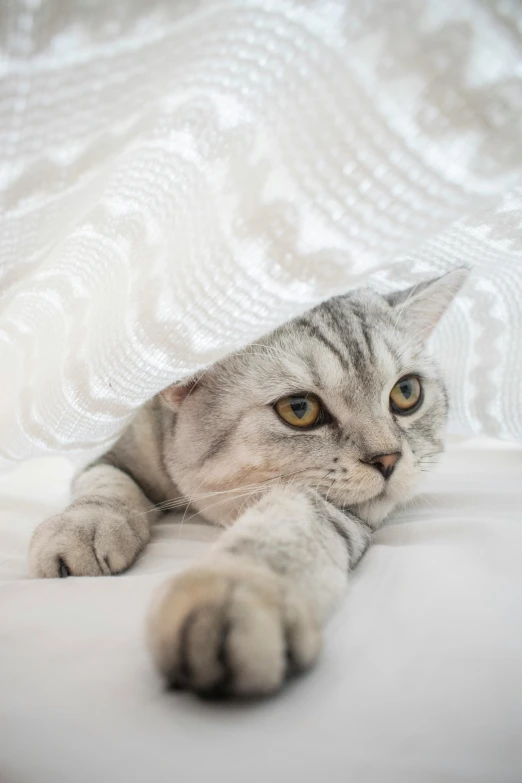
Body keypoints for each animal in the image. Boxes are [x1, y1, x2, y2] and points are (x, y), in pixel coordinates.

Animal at [29, 268, 468, 700]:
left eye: (406, 392)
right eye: (299, 409)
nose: (389, 459)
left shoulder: (334, 510)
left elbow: (288, 523)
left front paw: (237, 585)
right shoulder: (112, 452)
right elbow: (106, 484)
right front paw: (84, 525)